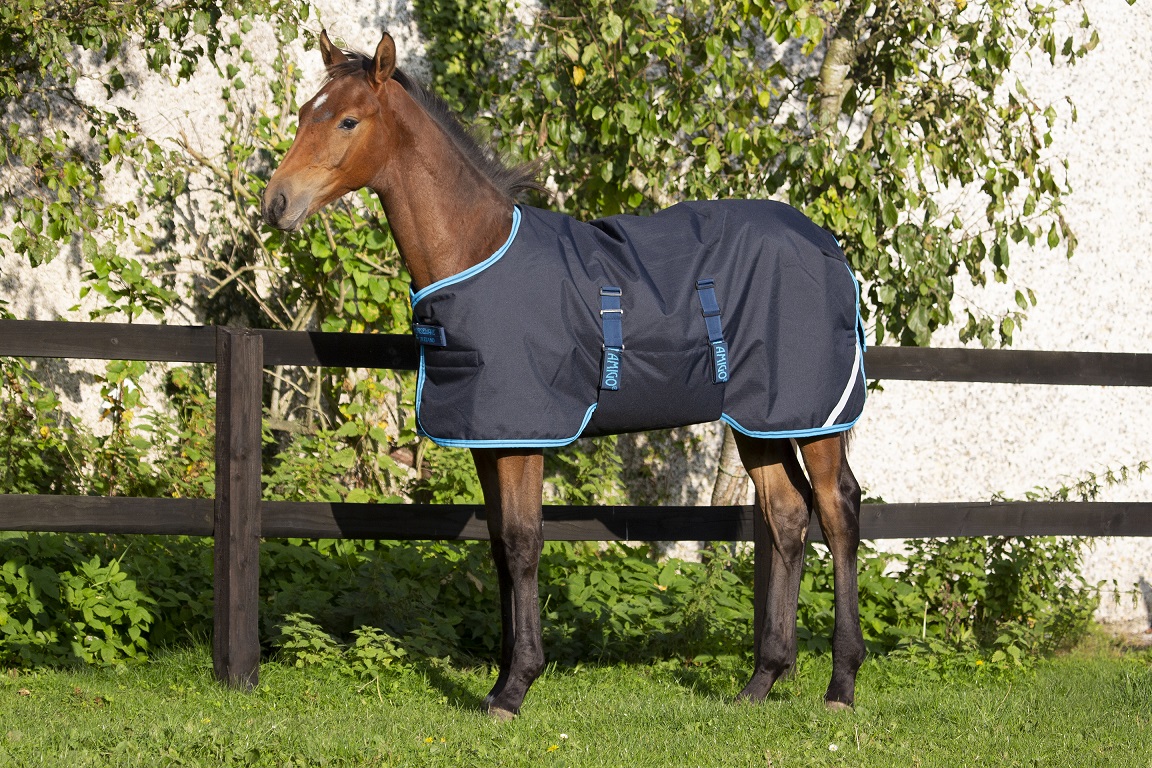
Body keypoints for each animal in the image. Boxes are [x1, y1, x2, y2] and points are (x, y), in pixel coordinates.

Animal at [262, 30, 866, 719]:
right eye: (304, 112)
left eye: (348, 120)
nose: (276, 203)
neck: (476, 251)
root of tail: (828, 244)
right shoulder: (489, 439)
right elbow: (499, 547)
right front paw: (501, 680)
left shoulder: (526, 437)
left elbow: (525, 543)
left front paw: (516, 687)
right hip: (759, 421)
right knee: (787, 517)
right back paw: (761, 681)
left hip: (814, 417)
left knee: (838, 512)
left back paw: (841, 684)